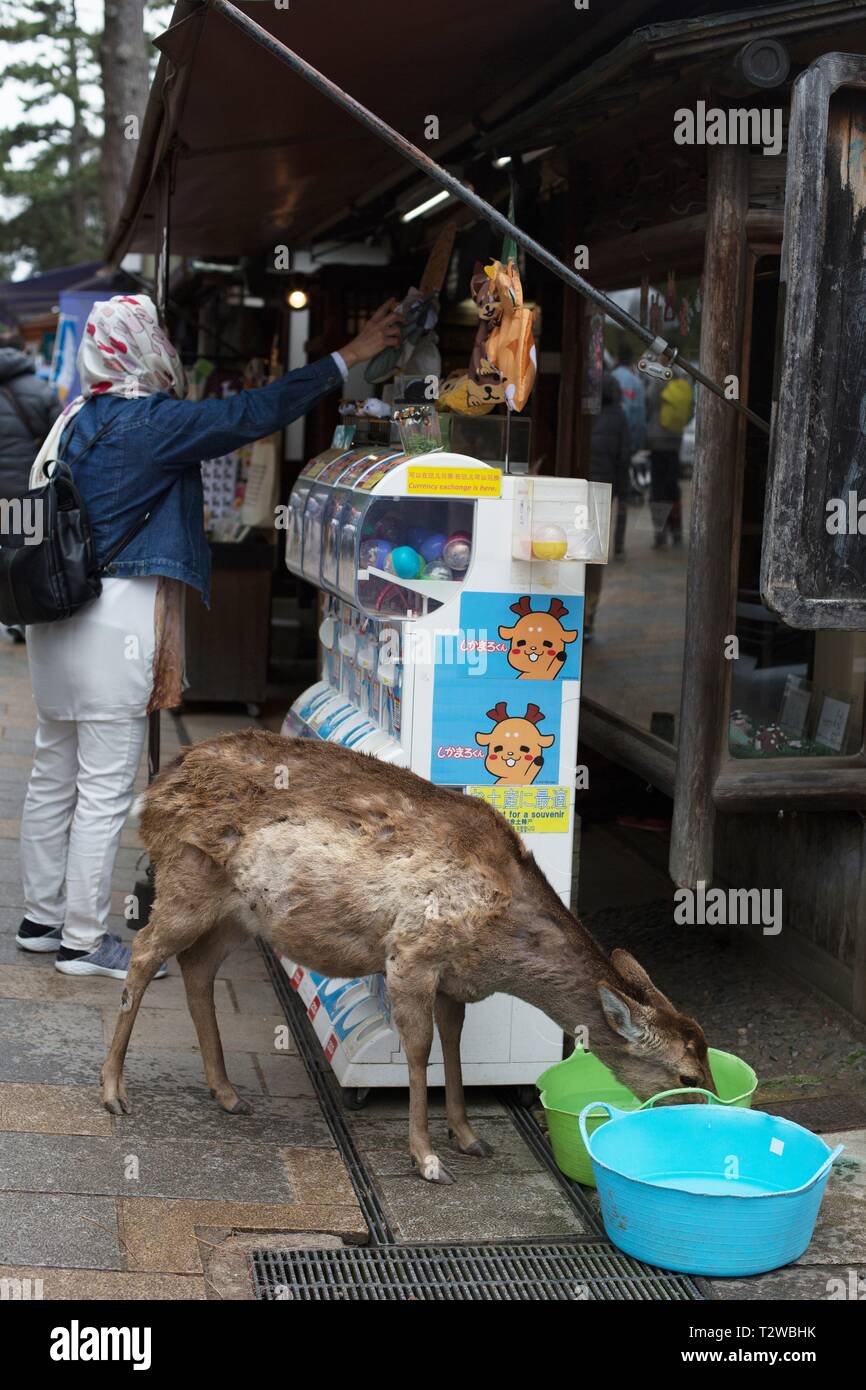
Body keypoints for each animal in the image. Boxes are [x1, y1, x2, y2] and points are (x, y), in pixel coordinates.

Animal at [101, 730, 714, 1184]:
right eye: (685, 1073)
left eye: (706, 1060)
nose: (704, 1113)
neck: (497, 945)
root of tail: (156, 788)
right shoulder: (412, 951)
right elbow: (419, 1051)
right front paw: (427, 1158)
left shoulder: (456, 980)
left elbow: (454, 1043)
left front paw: (468, 1137)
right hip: (186, 878)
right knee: (145, 952)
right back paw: (113, 1093)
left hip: (237, 913)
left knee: (197, 965)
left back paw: (228, 1094)